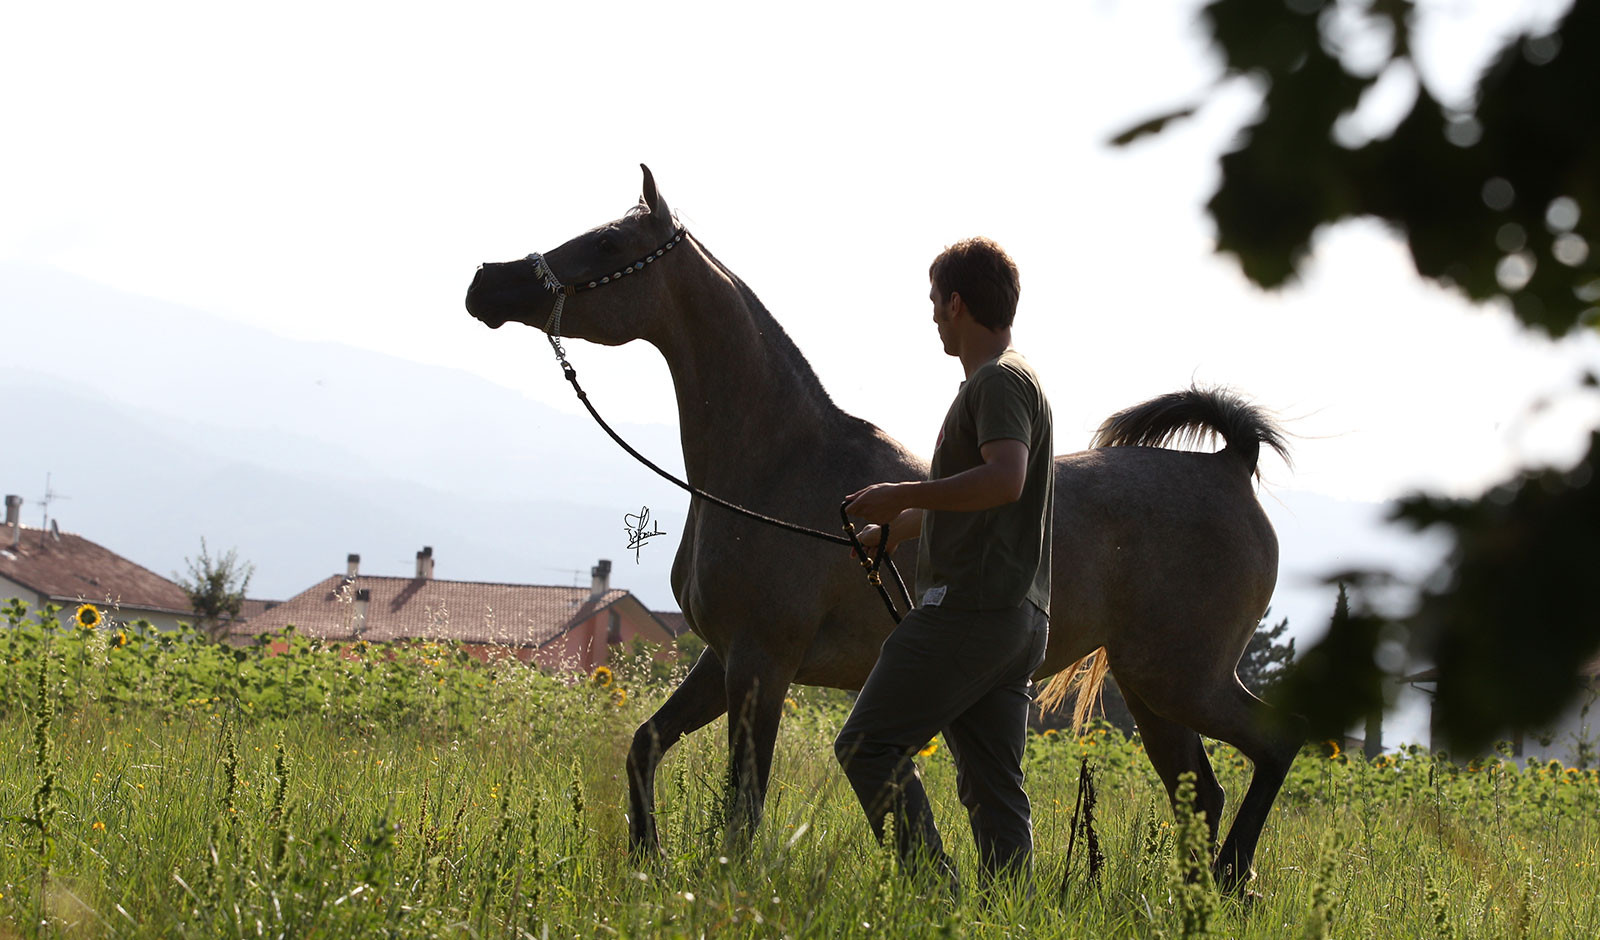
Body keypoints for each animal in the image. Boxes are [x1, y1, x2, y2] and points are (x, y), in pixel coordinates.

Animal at [460, 167, 1299, 888]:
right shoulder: (723, 658)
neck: (773, 468)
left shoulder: (762, 663)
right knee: (1203, 790)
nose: (485, 282)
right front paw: (647, 860)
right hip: (1153, 690)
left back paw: (1234, 878)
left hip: (1182, 679)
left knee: (1273, 745)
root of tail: (1230, 465)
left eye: (608, 243)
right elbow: (645, 745)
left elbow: (742, 807)